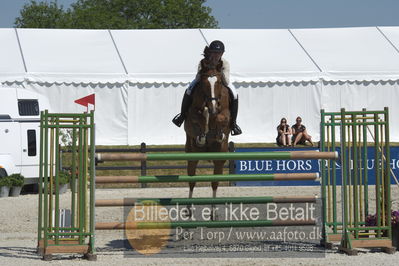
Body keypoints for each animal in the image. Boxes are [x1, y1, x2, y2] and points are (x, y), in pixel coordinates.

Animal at [184, 58, 231, 210]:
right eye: (204, 83)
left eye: (219, 82)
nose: (213, 107)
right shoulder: (192, 114)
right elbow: (200, 116)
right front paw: (203, 135)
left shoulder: (225, 113)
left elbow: (221, 118)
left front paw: (219, 132)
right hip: (192, 155)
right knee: (192, 181)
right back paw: (189, 209)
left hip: (219, 158)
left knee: (215, 183)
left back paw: (213, 211)